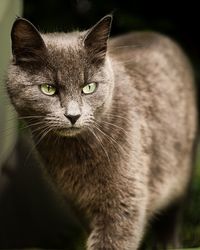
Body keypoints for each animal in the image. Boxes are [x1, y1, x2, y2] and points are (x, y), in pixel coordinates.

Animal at [5, 15, 197, 250]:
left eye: (89, 87)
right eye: (48, 89)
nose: (73, 115)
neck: (73, 155)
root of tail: (158, 35)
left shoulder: (124, 200)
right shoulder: (76, 203)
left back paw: (166, 243)